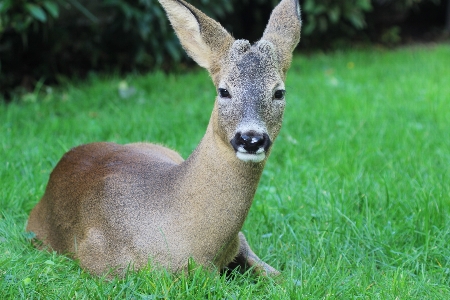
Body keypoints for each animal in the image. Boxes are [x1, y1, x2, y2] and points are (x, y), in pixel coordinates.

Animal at [27, 0, 302, 276]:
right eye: (224, 91)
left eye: (279, 92)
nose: (251, 139)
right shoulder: (100, 262)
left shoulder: (241, 241)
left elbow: (279, 277)